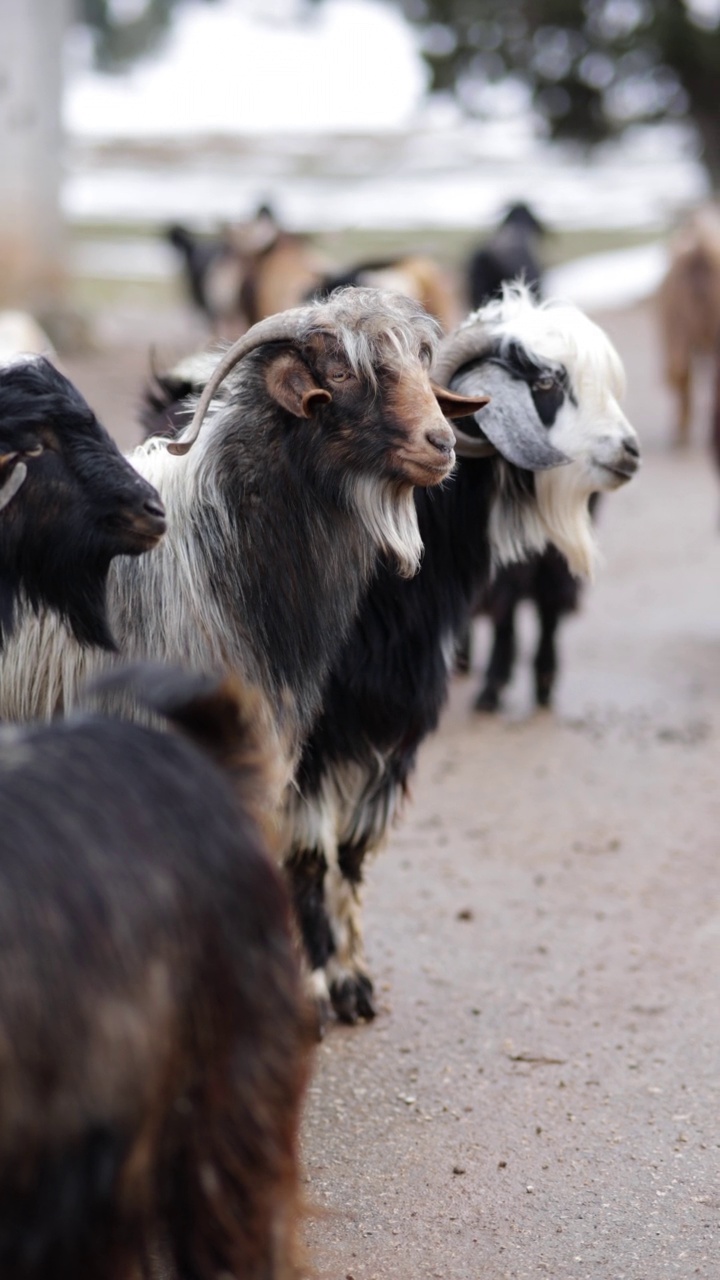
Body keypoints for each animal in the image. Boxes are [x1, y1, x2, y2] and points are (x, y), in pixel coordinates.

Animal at [280, 285, 638, 1024]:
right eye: (546, 383)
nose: (630, 451)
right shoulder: (317, 734)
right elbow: (310, 852)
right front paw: (326, 982)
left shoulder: (400, 720)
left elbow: (352, 851)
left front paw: (356, 979)